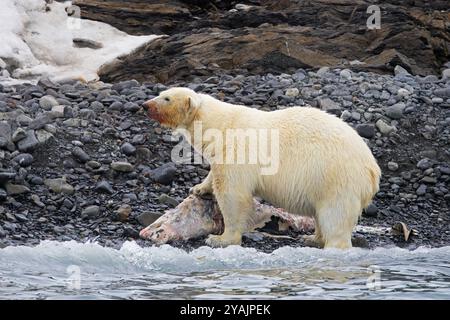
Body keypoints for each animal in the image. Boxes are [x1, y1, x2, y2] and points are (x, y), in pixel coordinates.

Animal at [142, 87, 382, 250]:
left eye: (166, 98)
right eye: (161, 92)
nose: (145, 105)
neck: (220, 126)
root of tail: (373, 170)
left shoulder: (238, 151)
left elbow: (233, 194)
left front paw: (220, 239)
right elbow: (214, 175)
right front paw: (198, 188)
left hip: (337, 178)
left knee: (335, 215)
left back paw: (330, 245)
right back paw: (312, 238)